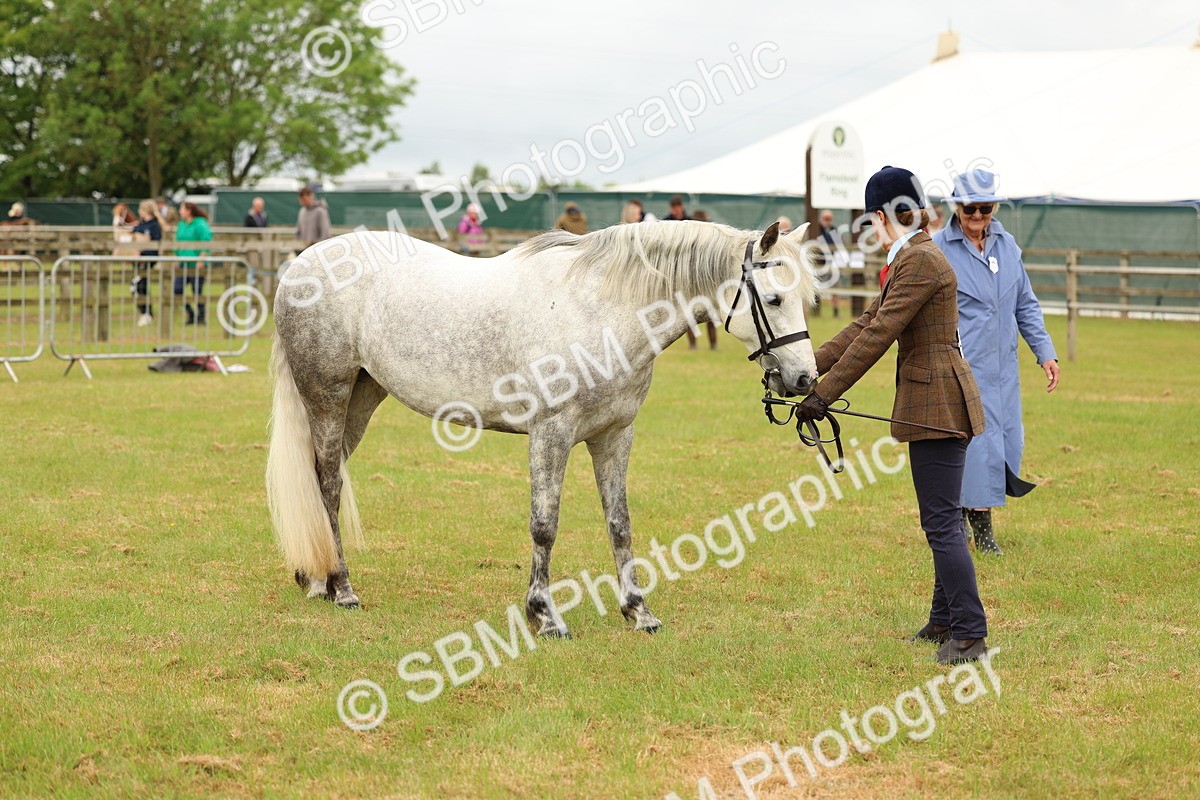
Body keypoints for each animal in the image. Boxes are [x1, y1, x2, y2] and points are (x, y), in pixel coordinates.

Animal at [265, 218, 819, 637]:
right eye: (773, 299)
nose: (803, 379)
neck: (601, 310)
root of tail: (302, 263)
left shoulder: (614, 435)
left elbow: (619, 522)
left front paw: (638, 611)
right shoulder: (550, 434)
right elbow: (544, 525)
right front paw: (544, 615)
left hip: (361, 397)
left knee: (322, 479)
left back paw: (316, 580)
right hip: (329, 397)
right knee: (329, 484)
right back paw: (342, 587)